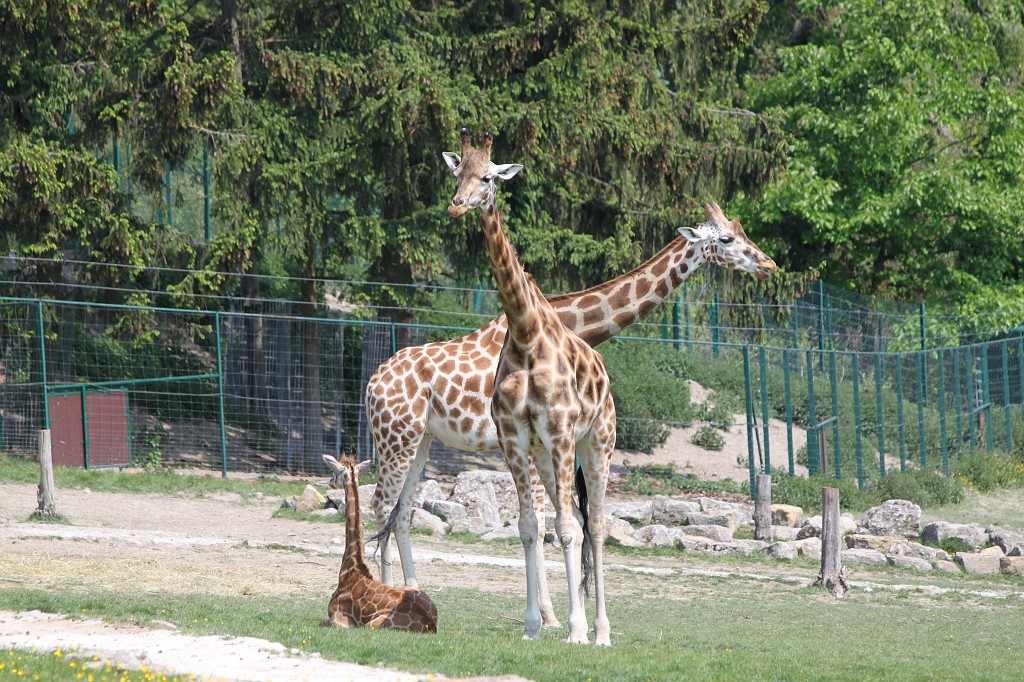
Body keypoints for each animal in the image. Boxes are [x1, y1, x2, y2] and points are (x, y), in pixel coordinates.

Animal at [321, 452, 438, 633]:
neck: (351, 569)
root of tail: (431, 623)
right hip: (409, 589)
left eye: (335, 471)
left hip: (372, 624)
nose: (331, 481)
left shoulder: (339, 621)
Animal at [366, 200, 777, 622]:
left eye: (742, 232)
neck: (567, 325)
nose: (769, 264)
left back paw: (411, 592)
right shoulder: (528, 443)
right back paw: (381, 597)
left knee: (401, 511)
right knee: (379, 505)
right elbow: (543, 522)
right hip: (395, 438)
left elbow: (560, 520)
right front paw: (548, 614)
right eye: (726, 239)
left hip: (420, 440)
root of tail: (373, 381)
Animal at [443, 128, 618, 644]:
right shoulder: (515, 437)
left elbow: (567, 529)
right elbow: (526, 526)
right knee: (570, 519)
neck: (523, 331)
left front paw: (576, 631)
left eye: (487, 177)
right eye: (456, 174)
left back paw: (602, 631)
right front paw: (532, 627)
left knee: (595, 525)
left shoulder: (560, 431)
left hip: (596, 443)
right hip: (545, 454)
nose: (457, 205)